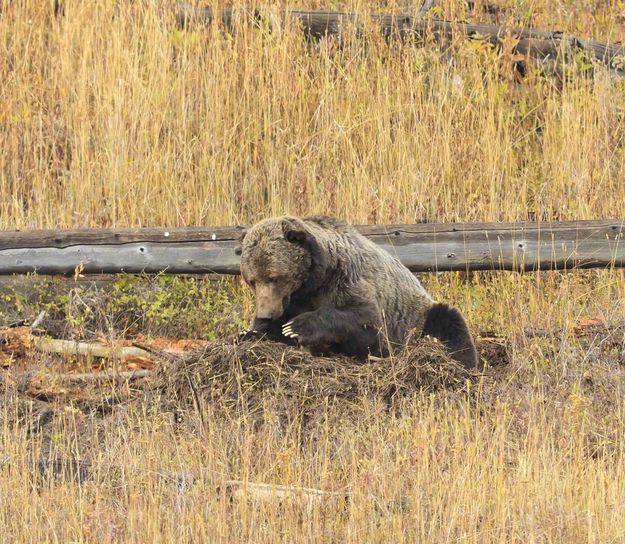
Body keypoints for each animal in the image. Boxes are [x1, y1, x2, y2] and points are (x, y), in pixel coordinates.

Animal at [236, 217, 476, 370]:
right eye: (252, 280)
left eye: (275, 277)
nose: (265, 314)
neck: (312, 283)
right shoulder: (292, 300)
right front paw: (250, 333)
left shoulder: (347, 280)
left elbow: (366, 327)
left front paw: (297, 327)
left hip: (419, 316)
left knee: (449, 320)